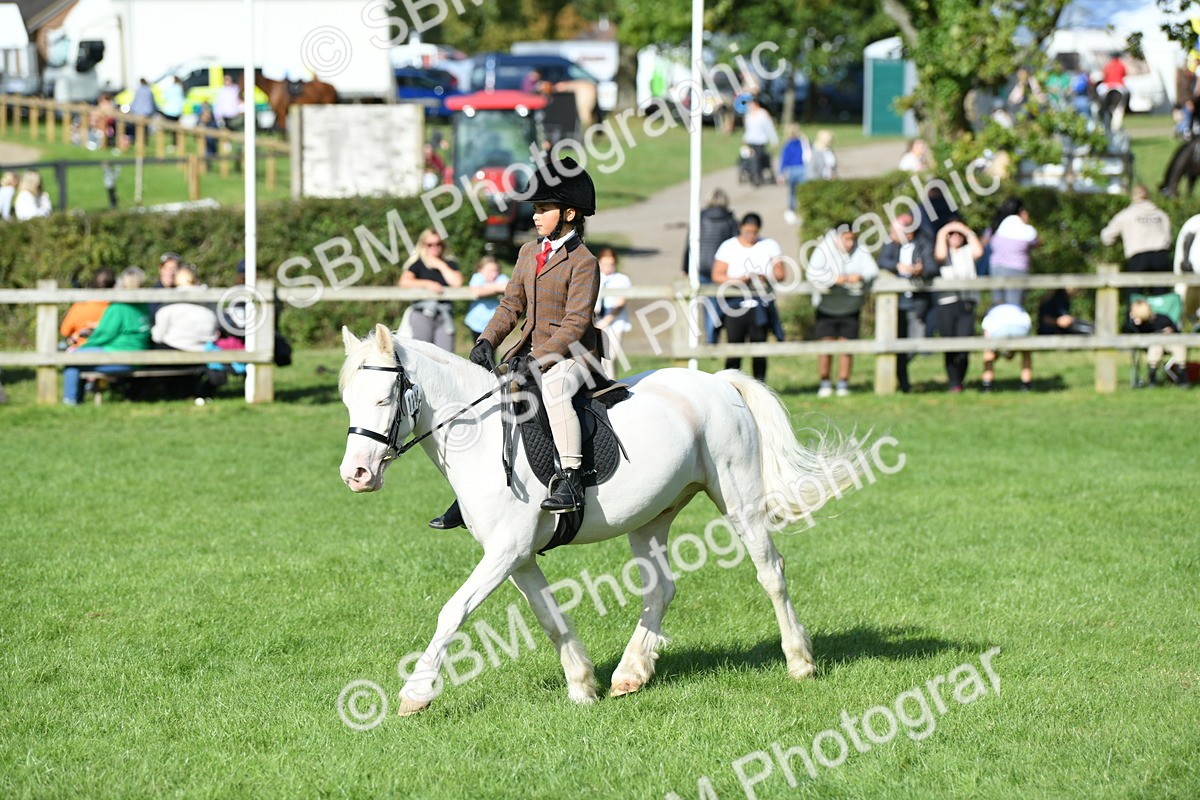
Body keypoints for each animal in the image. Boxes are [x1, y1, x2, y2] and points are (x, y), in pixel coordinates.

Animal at [338, 326, 867, 716]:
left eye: (385, 400)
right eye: (347, 401)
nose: (355, 475)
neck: (483, 436)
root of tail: (718, 381)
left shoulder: (506, 550)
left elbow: (454, 610)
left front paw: (415, 693)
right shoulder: (518, 555)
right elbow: (548, 616)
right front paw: (581, 686)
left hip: (738, 501)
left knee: (770, 572)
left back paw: (800, 661)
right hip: (650, 516)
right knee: (661, 589)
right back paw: (630, 673)